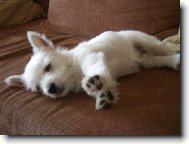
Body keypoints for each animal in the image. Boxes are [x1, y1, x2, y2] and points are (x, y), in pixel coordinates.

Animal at [4, 30, 180, 109]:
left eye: (48, 67)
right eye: (38, 88)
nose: (50, 89)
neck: (73, 75)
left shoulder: (90, 57)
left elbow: (92, 70)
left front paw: (94, 82)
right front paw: (104, 94)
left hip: (142, 40)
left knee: (164, 47)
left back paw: (176, 51)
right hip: (147, 61)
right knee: (159, 59)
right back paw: (175, 61)